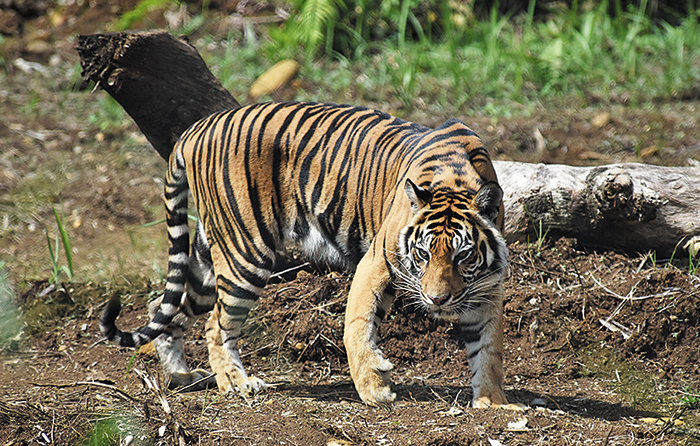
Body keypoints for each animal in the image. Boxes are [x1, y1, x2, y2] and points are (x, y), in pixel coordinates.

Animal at [100, 102, 508, 408]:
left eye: (462, 257)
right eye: (423, 254)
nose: (437, 300)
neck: (456, 180)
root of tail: (195, 129)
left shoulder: (484, 287)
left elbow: (488, 348)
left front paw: (493, 402)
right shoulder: (376, 263)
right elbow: (357, 326)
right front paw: (374, 390)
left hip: (209, 256)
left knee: (163, 306)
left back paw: (182, 376)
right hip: (246, 253)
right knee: (216, 324)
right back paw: (235, 383)